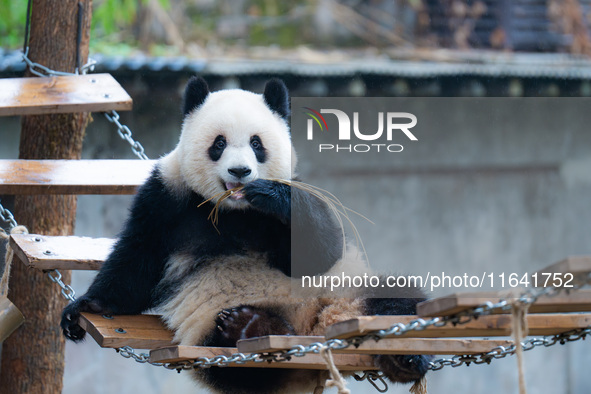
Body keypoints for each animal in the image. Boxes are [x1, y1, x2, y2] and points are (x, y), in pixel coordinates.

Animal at [61, 77, 430, 394]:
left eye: (256, 144)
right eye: (219, 143)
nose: (240, 171)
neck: (234, 211)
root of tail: (316, 328)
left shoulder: (294, 197)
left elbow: (319, 254)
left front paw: (271, 195)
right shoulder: (165, 196)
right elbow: (138, 259)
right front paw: (83, 309)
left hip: (348, 290)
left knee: (396, 300)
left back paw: (407, 358)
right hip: (210, 339)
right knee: (240, 368)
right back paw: (254, 326)